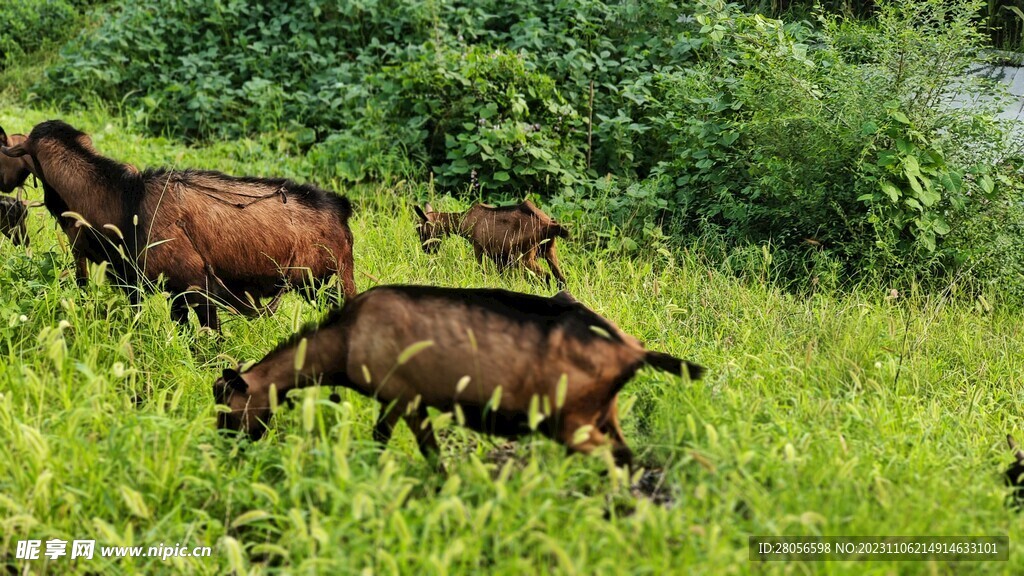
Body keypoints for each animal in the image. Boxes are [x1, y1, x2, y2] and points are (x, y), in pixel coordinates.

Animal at [210, 284, 700, 469]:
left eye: (228, 412)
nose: (226, 452)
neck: (346, 337)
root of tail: (632, 351)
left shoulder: (402, 398)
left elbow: (413, 448)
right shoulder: (405, 402)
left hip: (572, 423)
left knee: (612, 460)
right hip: (603, 414)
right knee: (629, 459)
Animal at [411, 200, 569, 284]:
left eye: (420, 230)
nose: (426, 249)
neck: (464, 221)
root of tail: (548, 225)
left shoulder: (478, 247)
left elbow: (482, 269)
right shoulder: (500, 258)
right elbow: (502, 276)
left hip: (525, 257)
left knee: (546, 276)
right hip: (550, 251)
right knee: (561, 278)